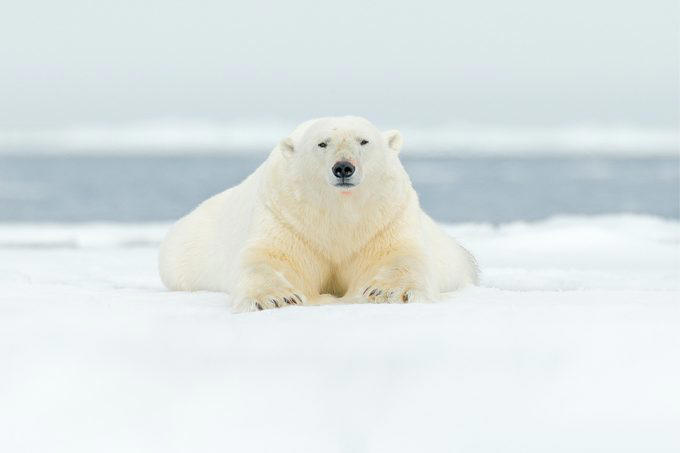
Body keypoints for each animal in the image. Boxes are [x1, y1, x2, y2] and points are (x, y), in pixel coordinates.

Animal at [159, 116, 478, 312]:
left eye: (364, 141)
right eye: (322, 143)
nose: (343, 167)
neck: (338, 212)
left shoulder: (386, 218)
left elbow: (400, 255)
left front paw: (386, 292)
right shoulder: (285, 218)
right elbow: (269, 258)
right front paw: (276, 298)